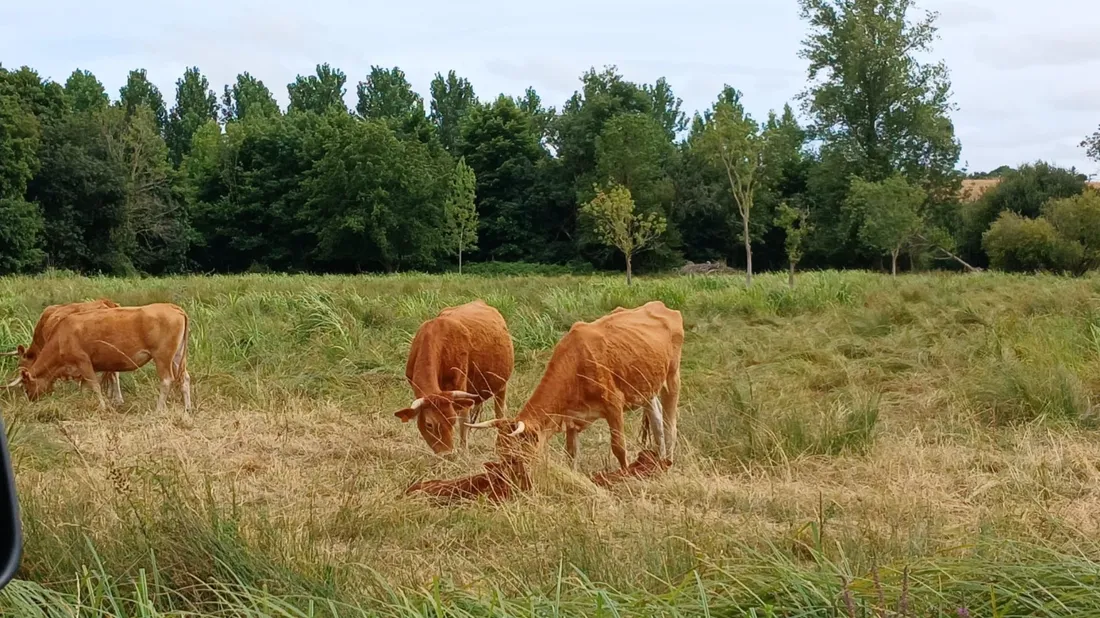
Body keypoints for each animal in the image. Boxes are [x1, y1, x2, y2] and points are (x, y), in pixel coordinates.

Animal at [13, 303, 191, 412]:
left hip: (162, 357)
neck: (62, 335)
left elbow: (94, 385)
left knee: (166, 380)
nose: (30, 399)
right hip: (177, 357)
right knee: (185, 379)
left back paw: (159, 409)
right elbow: (85, 388)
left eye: (26, 386)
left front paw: (103, 406)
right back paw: (187, 408)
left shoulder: (83, 361)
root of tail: (172, 307)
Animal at [393, 300, 514, 455]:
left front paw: (463, 450)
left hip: (501, 385)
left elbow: (464, 422)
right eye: (429, 424)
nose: (448, 454)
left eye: (452, 421)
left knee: (500, 414)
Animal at [467, 300, 683, 473]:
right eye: (500, 453)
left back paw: (668, 462)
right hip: (648, 387)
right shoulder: (571, 418)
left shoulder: (613, 406)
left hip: (672, 378)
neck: (577, 364)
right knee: (657, 423)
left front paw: (625, 475)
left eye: (514, 457)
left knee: (669, 425)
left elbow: (619, 448)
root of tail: (659, 305)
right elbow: (571, 455)